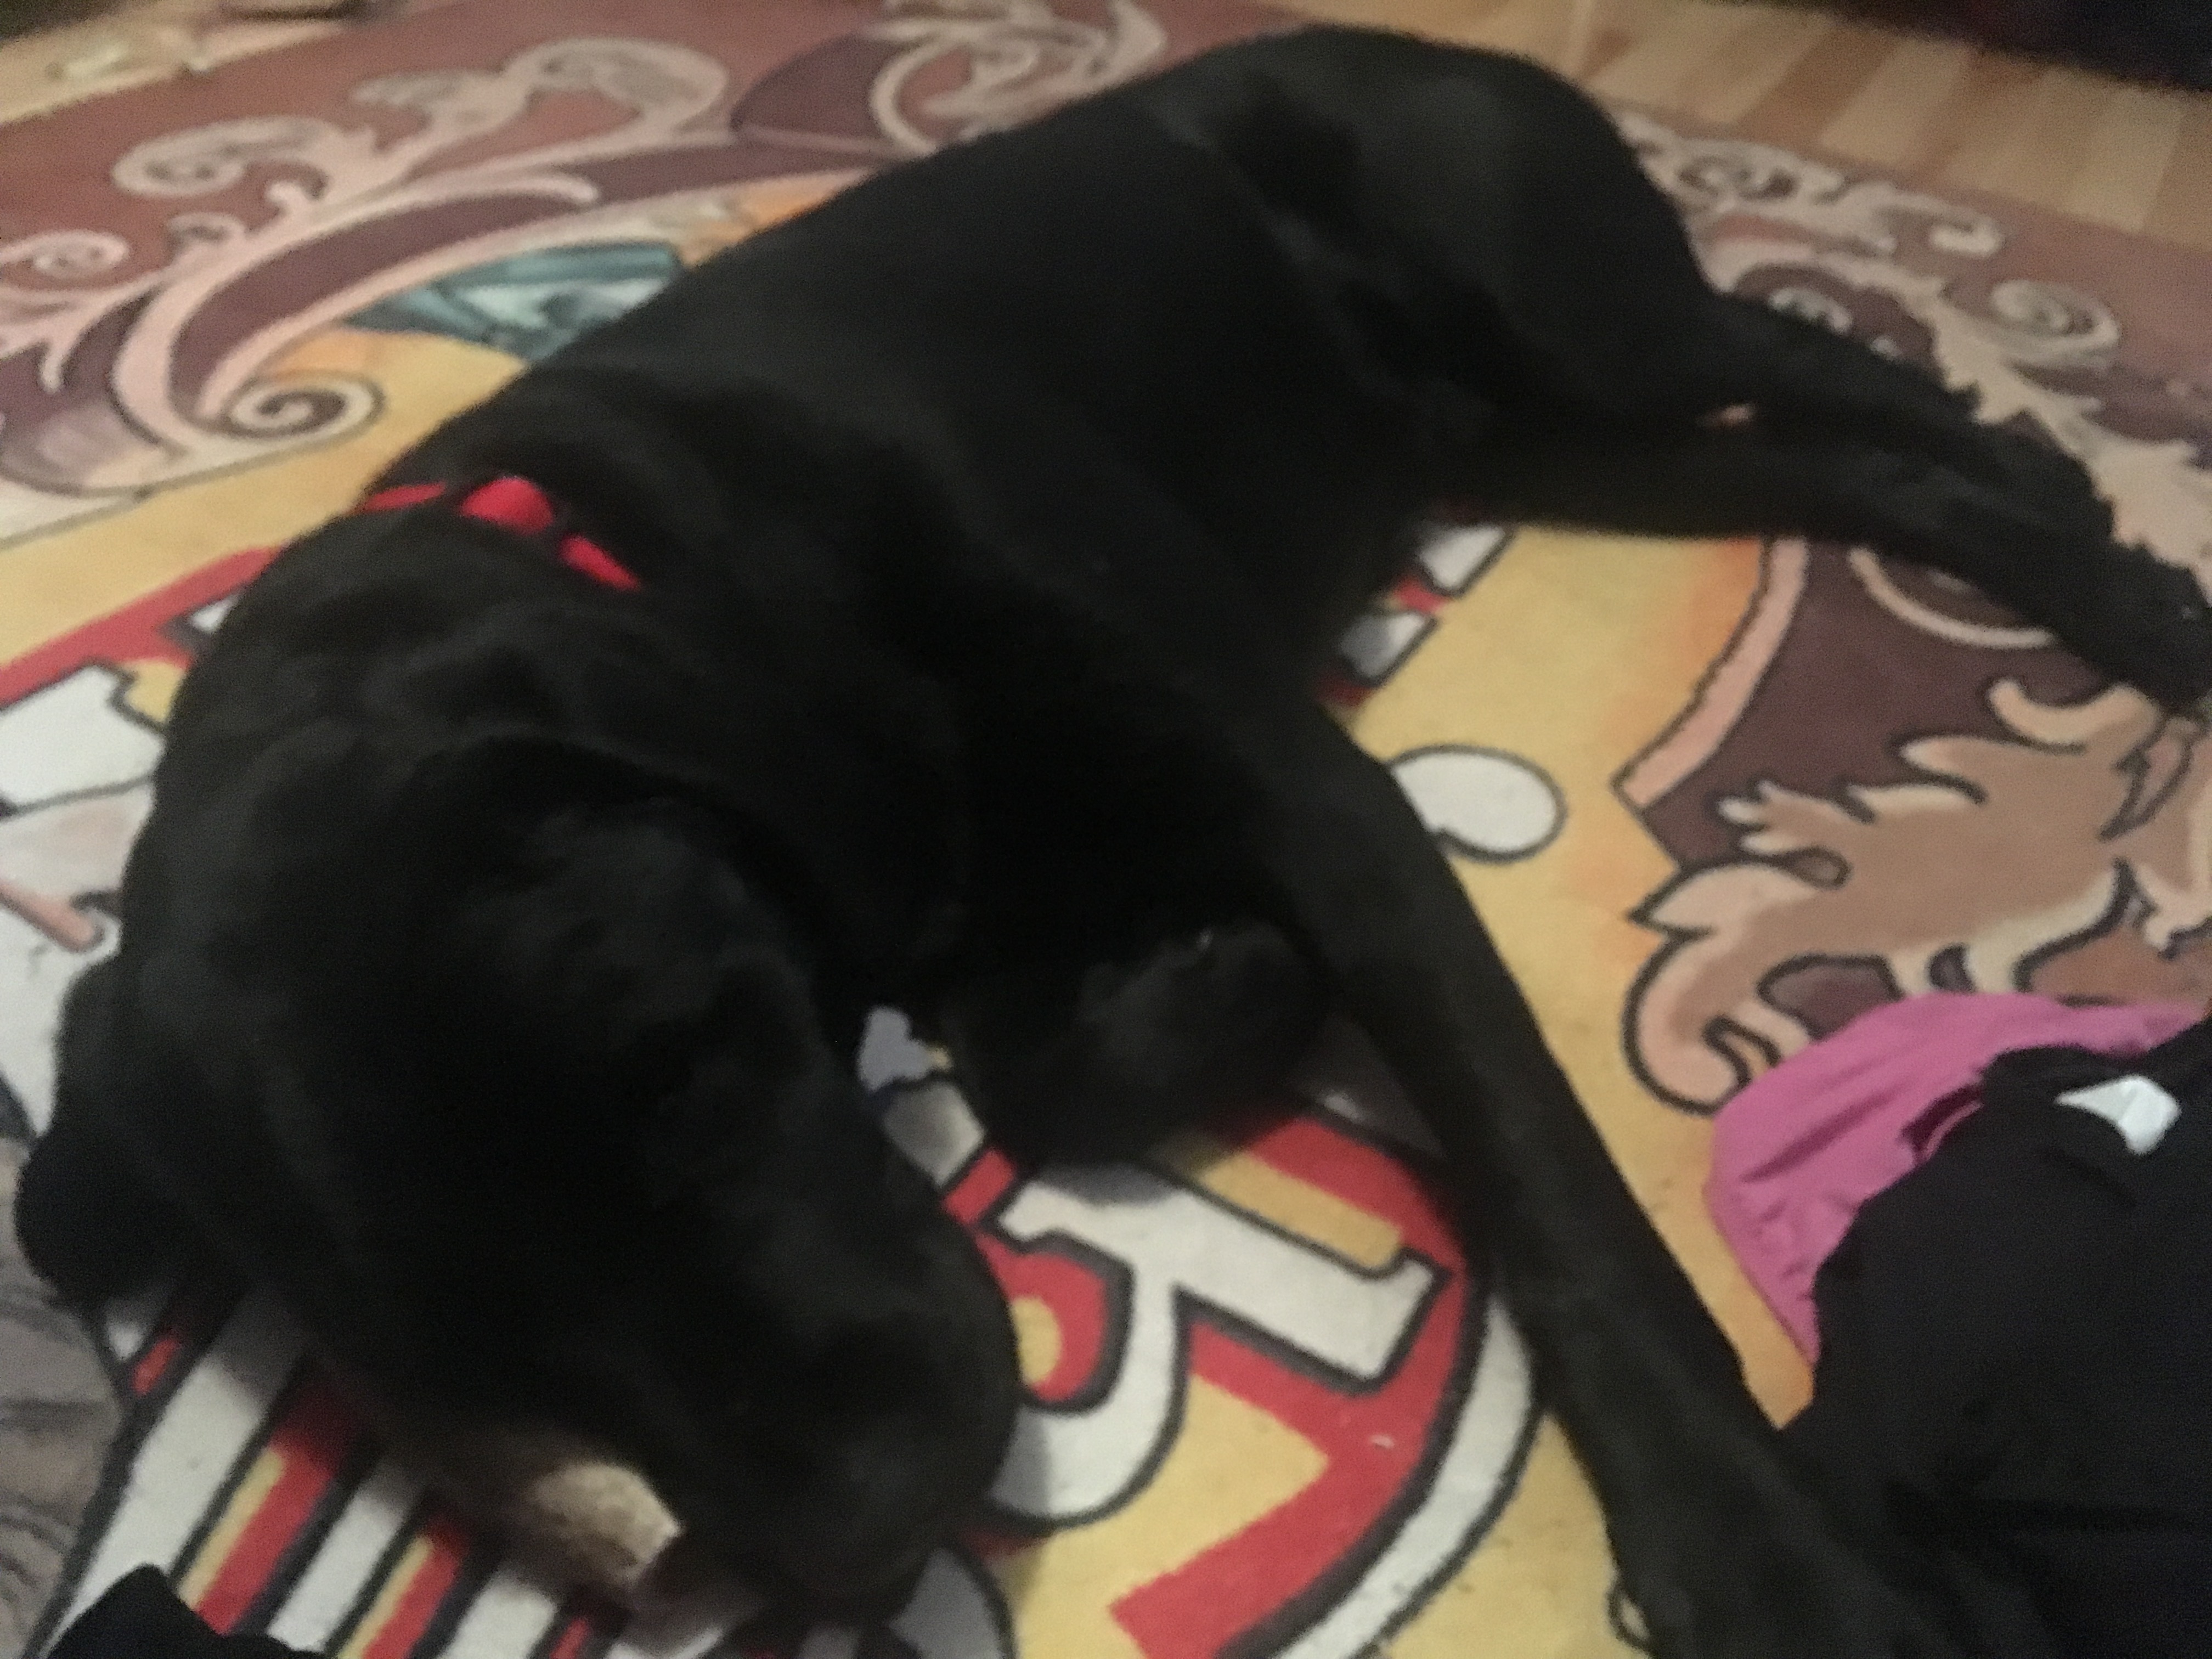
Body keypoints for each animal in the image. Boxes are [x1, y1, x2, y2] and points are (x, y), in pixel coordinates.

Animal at [21, 29, 2212, 1659]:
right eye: (450, 1343)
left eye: (693, 1072)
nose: (866, 1531)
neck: (658, 538)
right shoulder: (943, 892)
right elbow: (1038, 1064)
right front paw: (1216, 984)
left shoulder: (1310, 803)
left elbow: (1562, 1205)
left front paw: (1770, 1561)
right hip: (1558, 443)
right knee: (1821, 457)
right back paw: (2046, 521)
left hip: (1573, 317)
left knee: (1803, 345)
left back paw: (2094, 541)